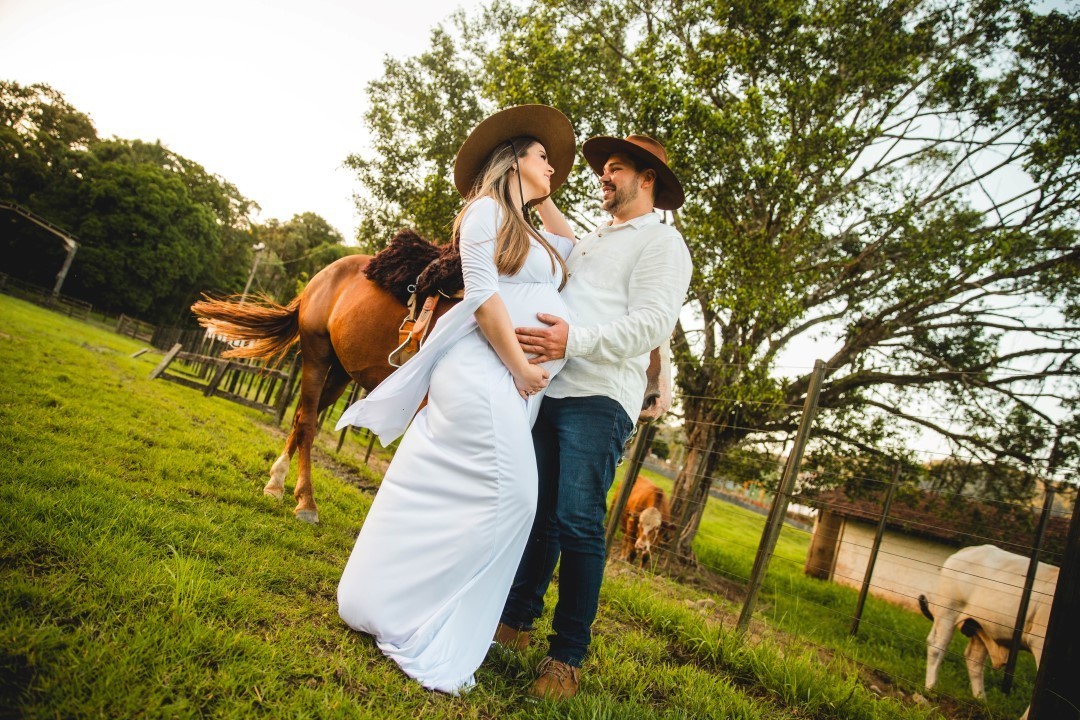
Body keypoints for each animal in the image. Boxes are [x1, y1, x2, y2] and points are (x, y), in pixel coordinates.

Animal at [192, 230, 671, 523]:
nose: (658, 400)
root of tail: (325, 275)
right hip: (316, 354)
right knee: (308, 422)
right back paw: (305, 502)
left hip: (340, 371)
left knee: (298, 419)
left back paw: (276, 484)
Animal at [919, 544, 1058, 720]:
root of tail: (967, 550)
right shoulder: (1039, 643)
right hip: (948, 610)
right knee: (937, 646)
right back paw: (931, 688)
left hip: (980, 626)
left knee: (974, 659)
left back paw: (981, 702)